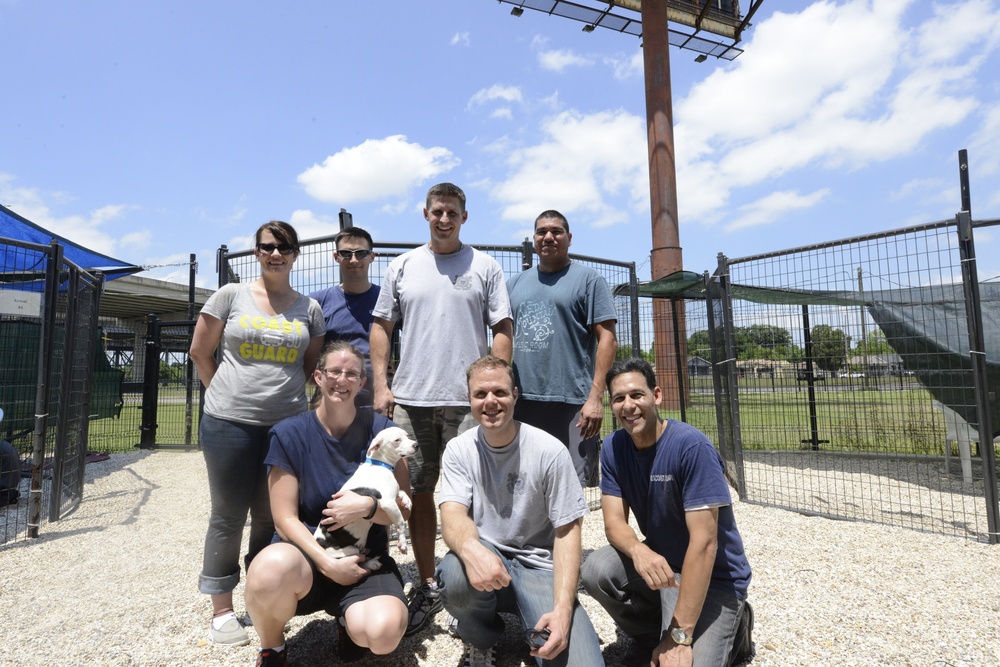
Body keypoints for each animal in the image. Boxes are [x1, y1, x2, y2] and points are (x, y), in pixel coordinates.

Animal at [316, 428, 418, 576]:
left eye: (407, 435)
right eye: (397, 440)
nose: (416, 445)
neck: (380, 464)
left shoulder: (392, 495)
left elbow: (402, 491)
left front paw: (406, 501)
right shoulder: (388, 503)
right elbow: (400, 523)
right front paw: (403, 544)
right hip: (346, 552)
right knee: (359, 561)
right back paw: (371, 563)